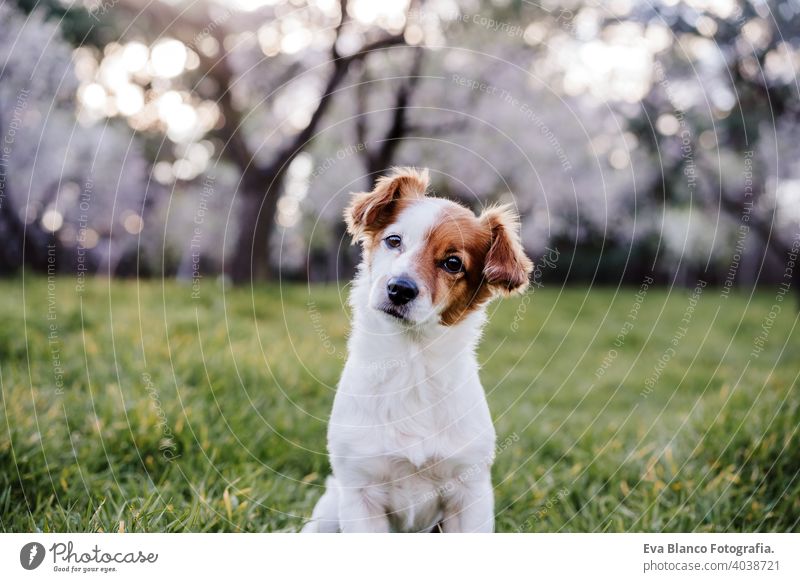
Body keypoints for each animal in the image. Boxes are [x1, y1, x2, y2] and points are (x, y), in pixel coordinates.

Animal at [304, 168, 536, 532]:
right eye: (393, 241)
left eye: (453, 263)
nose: (399, 289)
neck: (411, 363)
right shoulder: (359, 490)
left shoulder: (470, 492)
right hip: (329, 512)